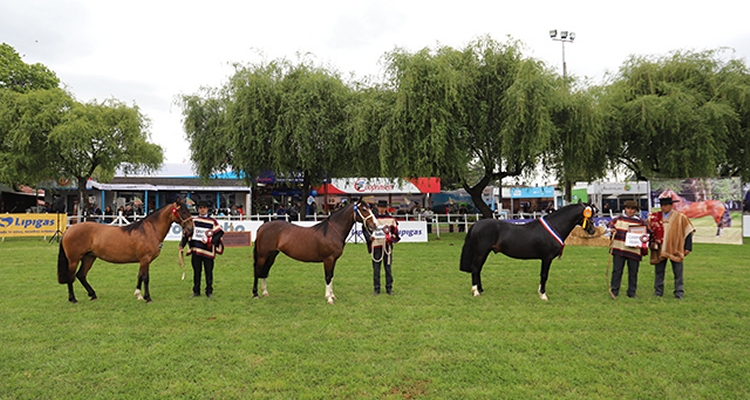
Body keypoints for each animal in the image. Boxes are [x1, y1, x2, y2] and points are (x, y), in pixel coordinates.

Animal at [57, 200, 195, 304]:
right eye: (182, 211)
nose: (191, 229)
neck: (149, 231)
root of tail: (68, 230)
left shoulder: (143, 261)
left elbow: (140, 276)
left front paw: (139, 294)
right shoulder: (145, 259)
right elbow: (146, 277)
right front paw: (148, 298)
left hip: (89, 257)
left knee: (81, 275)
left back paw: (93, 294)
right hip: (74, 260)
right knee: (71, 276)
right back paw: (73, 299)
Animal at [254, 200, 382, 304]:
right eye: (364, 209)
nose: (375, 225)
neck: (332, 231)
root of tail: (262, 227)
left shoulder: (333, 260)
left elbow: (332, 276)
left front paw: (332, 295)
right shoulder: (328, 259)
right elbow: (328, 277)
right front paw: (329, 299)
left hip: (272, 255)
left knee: (265, 272)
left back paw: (265, 293)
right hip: (263, 255)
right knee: (257, 271)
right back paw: (255, 294)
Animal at [458, 203, 600, 300]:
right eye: (589, 215)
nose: (593, 230)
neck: (554, 227)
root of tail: (476, 224)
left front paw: (540, 292)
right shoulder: (547, 258)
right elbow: (544, 275)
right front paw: (543, 295)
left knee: (478, 270)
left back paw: (481, 289)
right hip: (481, 253)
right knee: (475, 269)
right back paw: (476, 292)